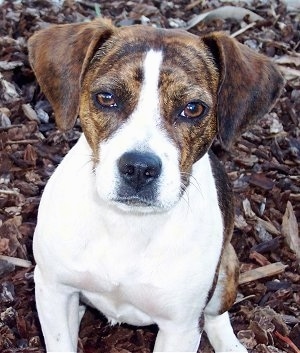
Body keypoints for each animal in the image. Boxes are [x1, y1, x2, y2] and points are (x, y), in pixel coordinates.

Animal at [28, 17, 284, 352]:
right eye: (106, 98)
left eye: (193, 108)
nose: (139, 168)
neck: (129, 224)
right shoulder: (54, 289)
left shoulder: (180, 328)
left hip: (227, 265)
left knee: (216, 315)